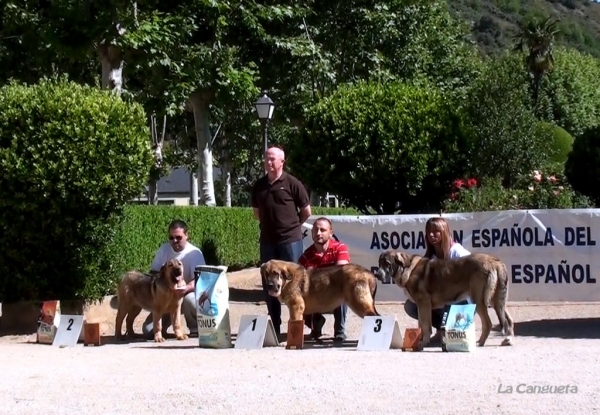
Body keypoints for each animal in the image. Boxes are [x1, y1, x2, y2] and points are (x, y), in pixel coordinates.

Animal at [378, 252, 512, 350]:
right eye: (379, 263)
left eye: (387, 263)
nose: (378, 275)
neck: (407, 269)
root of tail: (493, 261)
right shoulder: (421, 306)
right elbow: (421, 324)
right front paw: (419, 340)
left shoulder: (423, 303)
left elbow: (425, 325)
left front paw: (423, 343)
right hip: (496, 300)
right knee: (507, 319)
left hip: (479, 300)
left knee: (488, 323)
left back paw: (480, 343)